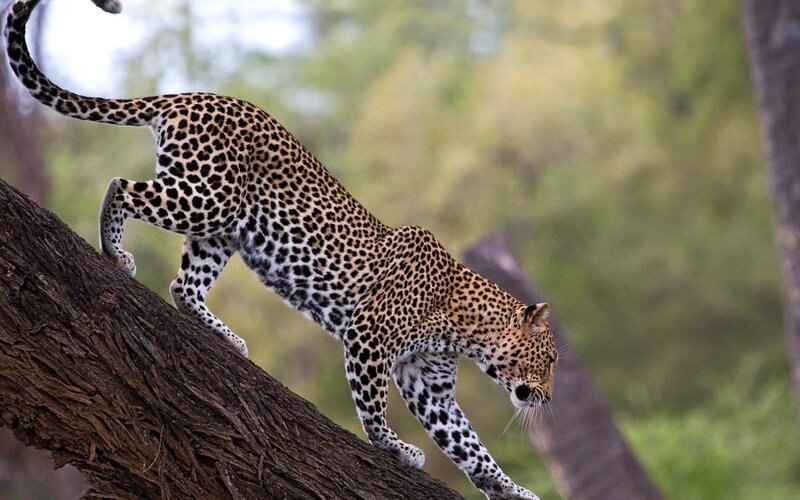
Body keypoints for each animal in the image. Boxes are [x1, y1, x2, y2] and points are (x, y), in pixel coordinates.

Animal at [4, 1, 559, 498]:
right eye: (551, 359)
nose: (549, 400)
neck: (466, 329)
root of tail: (192, 95)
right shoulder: (369, 338)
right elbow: (374, 408)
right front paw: (394, 448)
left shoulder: (430, 386)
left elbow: (471, 447)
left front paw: (512, 489)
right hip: (205, 198)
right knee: (120, 187)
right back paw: (115, 253)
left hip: (223, 229)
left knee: (183, 285)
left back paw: (226, 337)